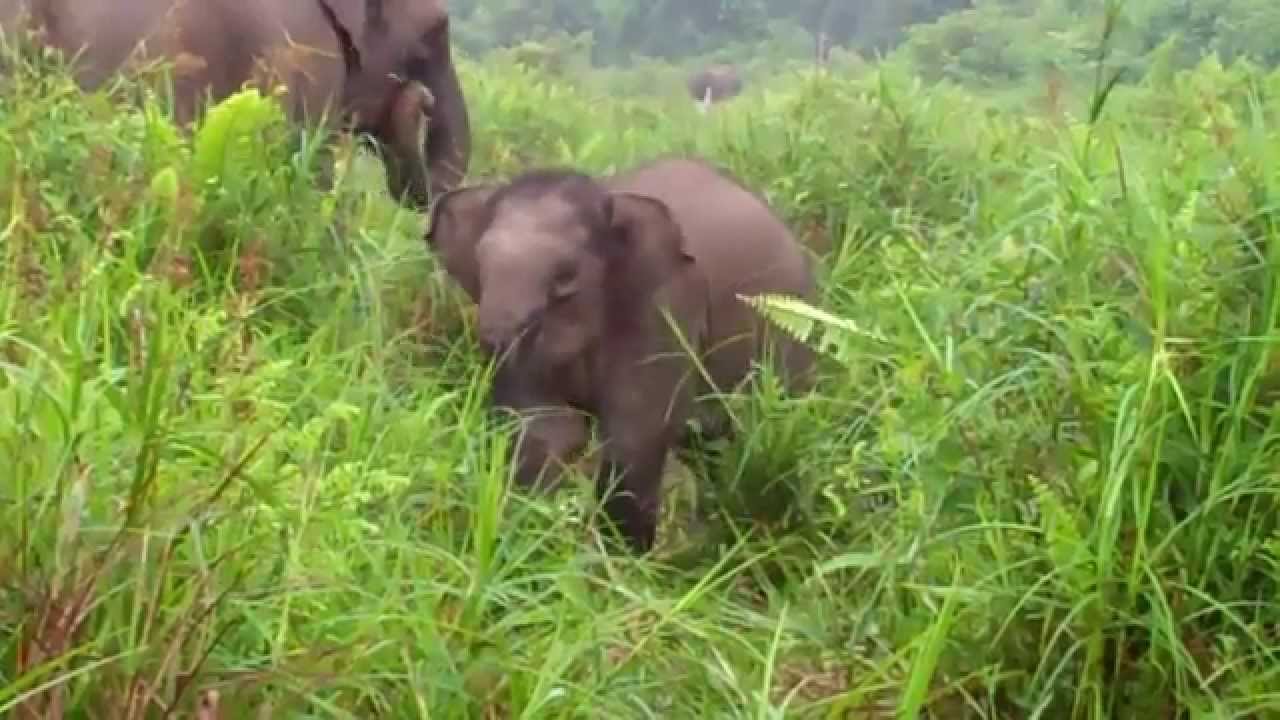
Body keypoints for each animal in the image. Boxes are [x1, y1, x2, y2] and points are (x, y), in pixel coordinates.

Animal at [425, 156, 817, 553]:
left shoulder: (663, 306)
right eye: (480, 263)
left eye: (566, 277)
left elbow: (636, 434)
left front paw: (620, 560)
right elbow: (545, 428)